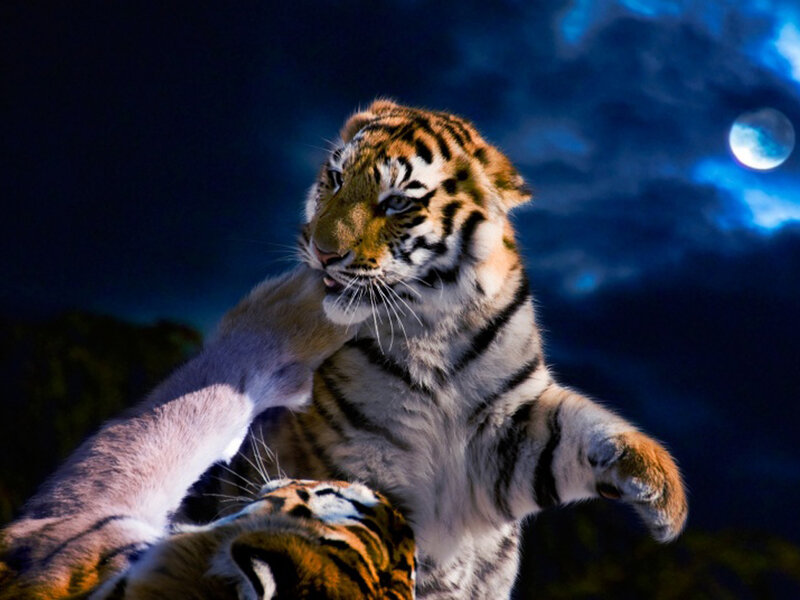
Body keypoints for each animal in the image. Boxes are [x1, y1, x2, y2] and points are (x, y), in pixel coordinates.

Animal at [190, 99, 689, 599]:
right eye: (335, 177)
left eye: (396, 203)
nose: (321, 251)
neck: (434, 327)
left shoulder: (506, 431)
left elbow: (580, 434)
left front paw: (665, 501)